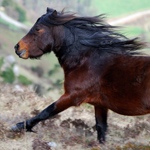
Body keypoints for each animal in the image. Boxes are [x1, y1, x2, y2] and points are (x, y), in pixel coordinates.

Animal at [12, 7, 149, 144]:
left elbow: (47, 111)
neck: (85, 62)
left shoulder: (72, 96)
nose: (17, 47)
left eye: (38, 28)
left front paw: (18, 126)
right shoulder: (100, 104)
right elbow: (101, 128)